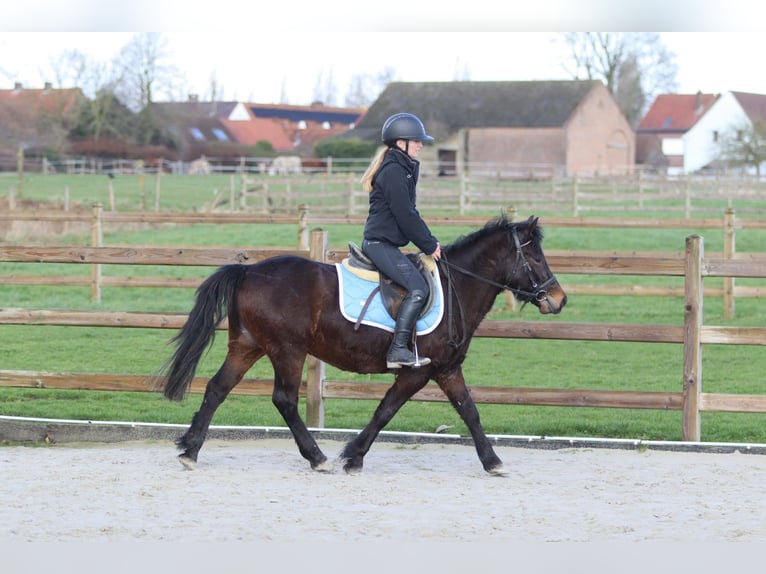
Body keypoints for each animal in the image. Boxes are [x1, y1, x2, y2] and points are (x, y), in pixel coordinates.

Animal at [153, 215, 567, 475]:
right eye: (534, 257)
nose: (559, 299)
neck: (456, 287)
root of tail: (249, 270)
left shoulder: (447, 369)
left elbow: (471, 413)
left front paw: (492, 461)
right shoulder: (417, 372)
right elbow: (385, 411)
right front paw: (353, 457)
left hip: (247, 346)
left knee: (216, 388)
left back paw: (190, 450)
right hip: (288, 350)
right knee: (284, 399)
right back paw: (317, 457)